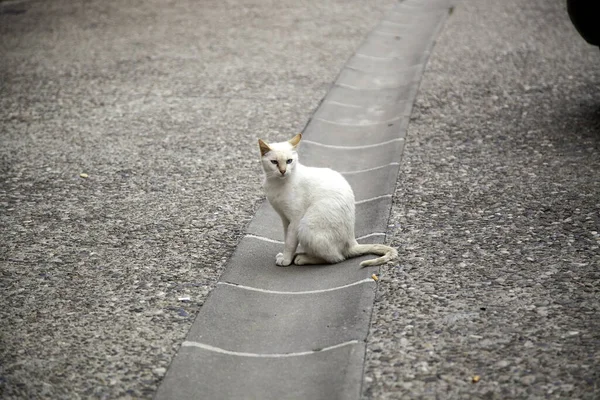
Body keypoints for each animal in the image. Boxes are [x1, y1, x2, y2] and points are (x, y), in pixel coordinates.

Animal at [255, 133, 396, 268]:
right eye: (274, 162)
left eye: (289, 161)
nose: (283, 171)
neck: (277, 184)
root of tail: (352, 241)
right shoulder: (285, 219)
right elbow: (287, 239)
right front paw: (286, 256)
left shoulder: (295, 219)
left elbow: (290, 243)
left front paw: (286, 260)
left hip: (305, 226)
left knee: (336, 258)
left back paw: (302, 258)